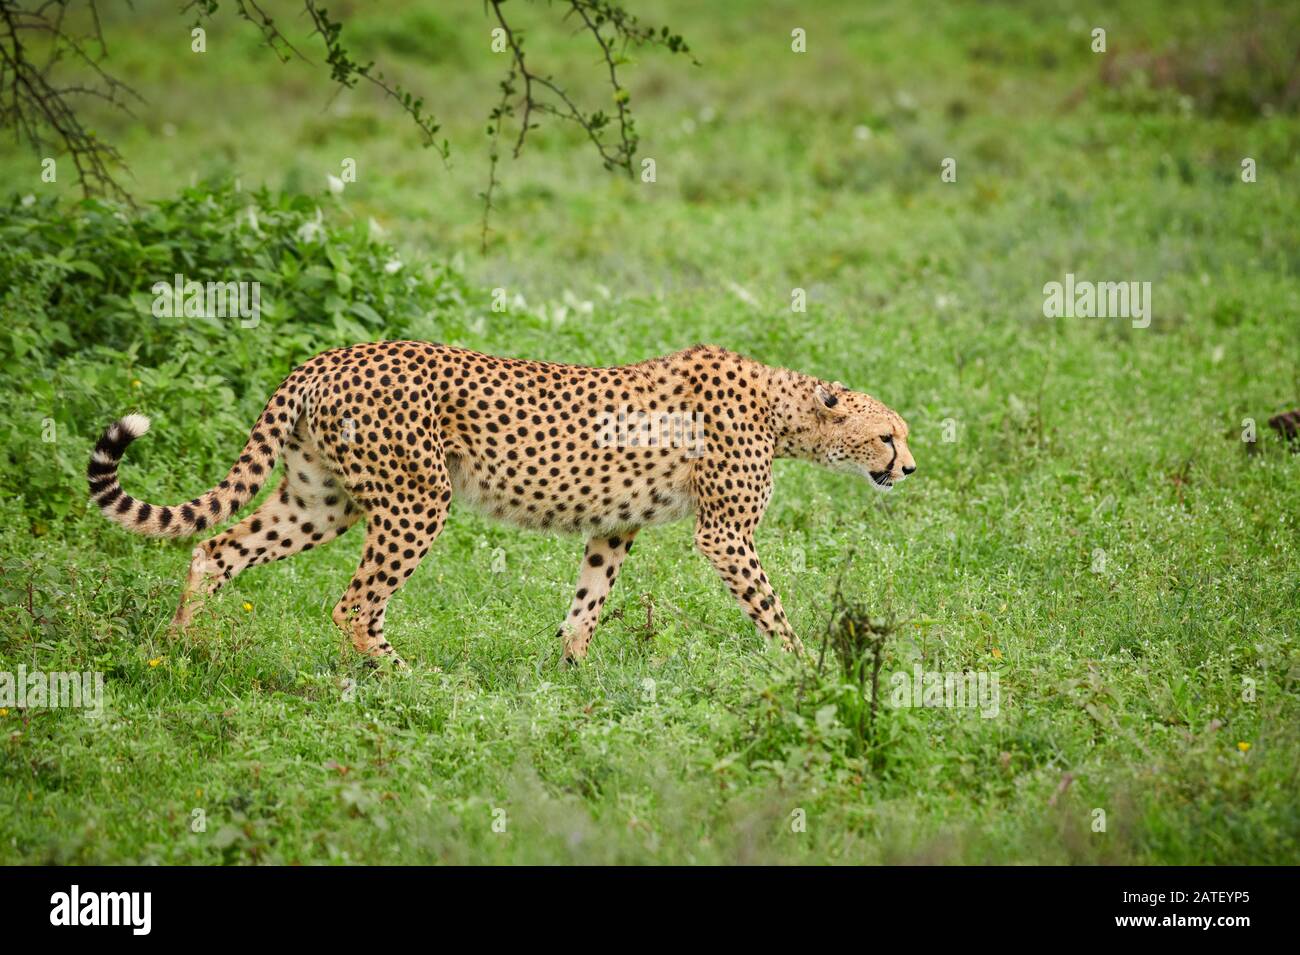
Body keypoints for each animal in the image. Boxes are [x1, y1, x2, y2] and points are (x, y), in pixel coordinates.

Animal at [87, 342, 916, 666]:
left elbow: (587, 601)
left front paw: (574, 672)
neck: (787, 410)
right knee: (356, 604)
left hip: (321, 501)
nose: (907, 467)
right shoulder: (724, 534)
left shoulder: (614, 524)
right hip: (416, 500)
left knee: (216, 547)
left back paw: (182, 648)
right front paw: (806, 667)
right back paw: (409, 677)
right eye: (887, 434)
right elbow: (770, 606)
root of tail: (331, 354)